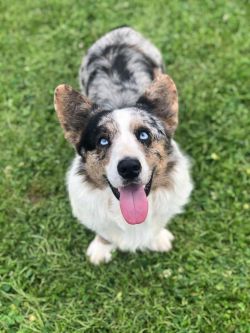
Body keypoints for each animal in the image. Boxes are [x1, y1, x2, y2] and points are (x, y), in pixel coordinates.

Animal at [53, 26, 192, 264]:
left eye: (144, 135)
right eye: (103, 140)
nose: (128, 167)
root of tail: (122, 29)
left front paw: (158, 239)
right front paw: (101, 249)